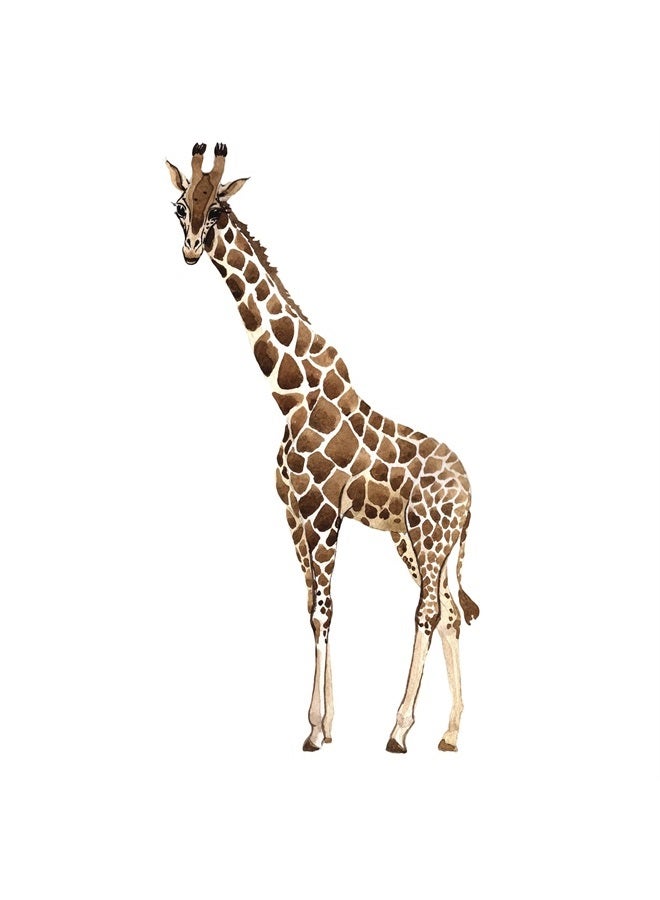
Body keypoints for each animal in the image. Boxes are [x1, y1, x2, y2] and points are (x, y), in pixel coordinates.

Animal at [166, 142, 480, 753]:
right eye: (179, 206)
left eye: (217, 209)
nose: (190, 250)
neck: (290, 395)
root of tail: (470, 492)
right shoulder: (293, 514)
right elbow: (311, 604)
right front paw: (327, 724)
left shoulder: (322, 512)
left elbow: (325, 612)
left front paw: (313, 730)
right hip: (416, 540)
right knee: (452, 611)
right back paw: (451, 732)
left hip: (429, 536)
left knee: (428, 610)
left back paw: (399, 730)